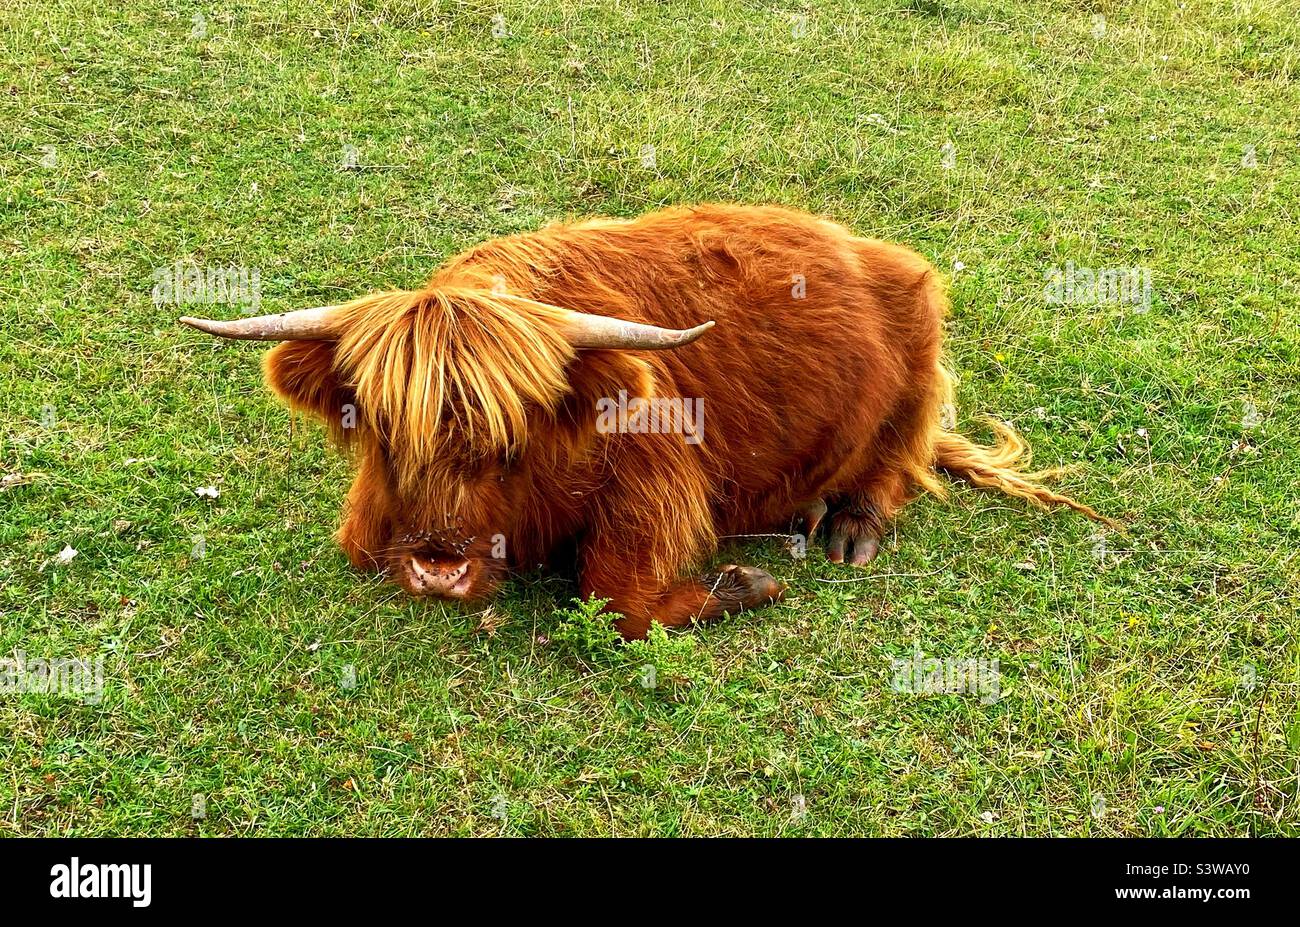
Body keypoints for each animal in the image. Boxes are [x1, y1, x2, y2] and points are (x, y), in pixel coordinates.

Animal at [182, 204, 1113, 639]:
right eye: (382, 429)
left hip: (917, 355)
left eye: (512, 439)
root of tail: (877, 252)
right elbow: (361, 543)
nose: (440, 564)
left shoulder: (658, 479)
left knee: (897, 454)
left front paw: (742, 585)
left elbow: (618, 597)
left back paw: (850, 523)